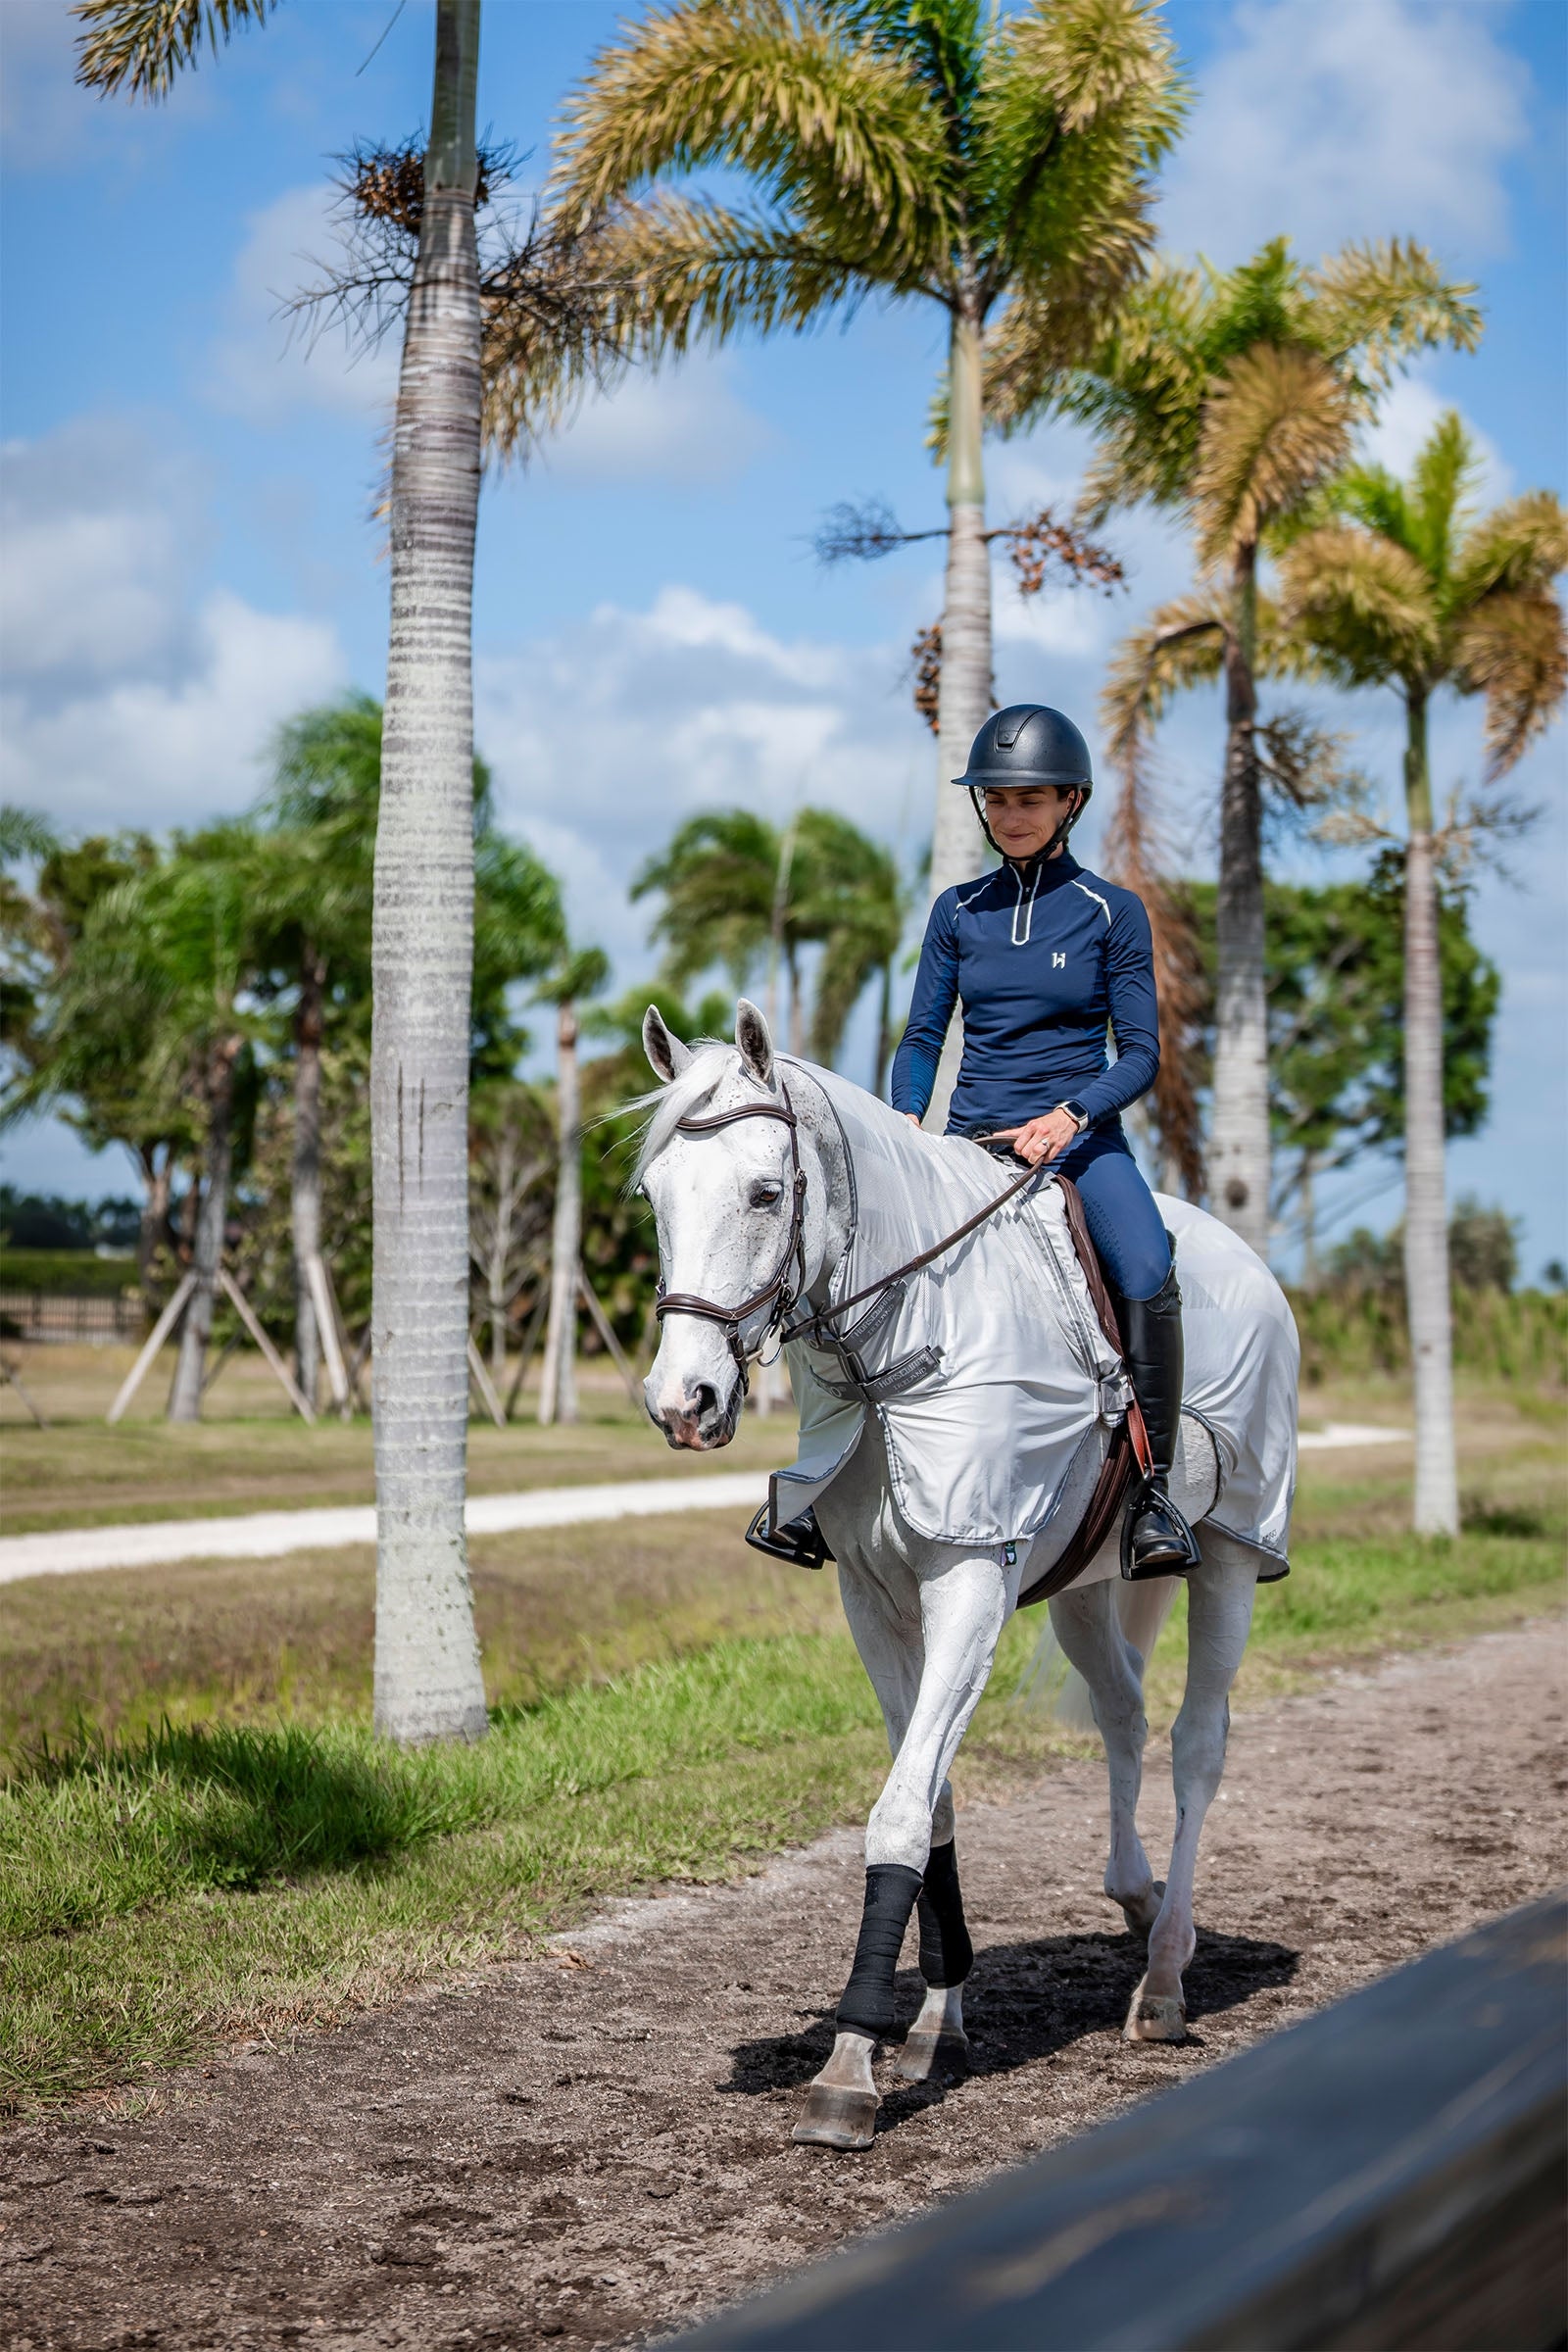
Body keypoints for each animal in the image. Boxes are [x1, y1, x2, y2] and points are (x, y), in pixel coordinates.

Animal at [635, 999, 1299, 2152]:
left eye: (765, 1192)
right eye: (655, 1197)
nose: (684, 1402)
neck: (909, 1347)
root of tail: (1250, 1265)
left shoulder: (972, 1580)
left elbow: (902, 1809)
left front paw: (849, 2067)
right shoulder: (872, 1596)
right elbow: (932, 1797)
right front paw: (931, 2024)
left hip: (1229, 1556)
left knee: (1196, 1745)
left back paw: (1165, 1980)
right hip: (1085, 1586)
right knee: (1123, 1715)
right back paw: (1131, 1897)